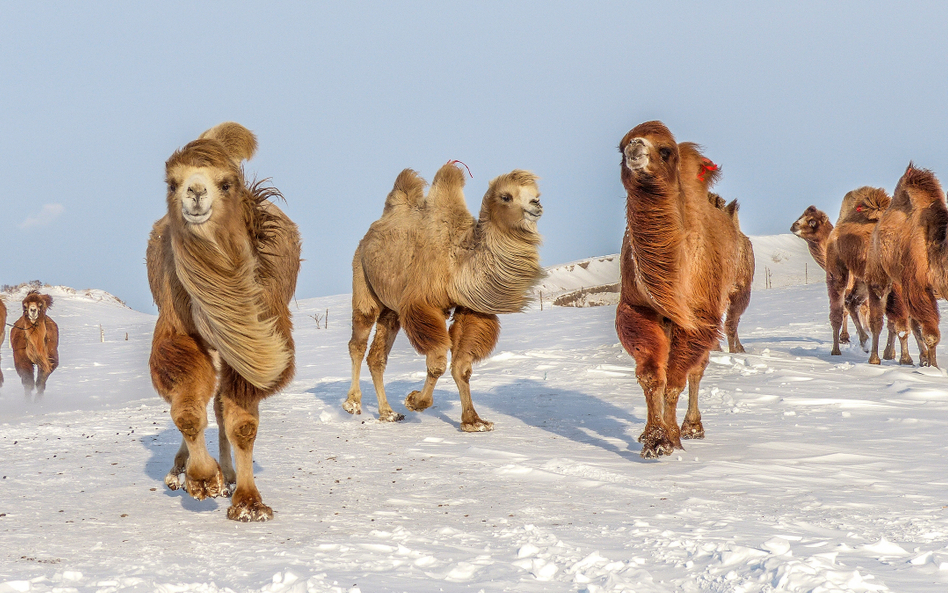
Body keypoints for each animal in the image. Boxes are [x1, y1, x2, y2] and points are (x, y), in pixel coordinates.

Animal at [146, 120, 300, 520]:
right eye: (172, 183)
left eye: (226, 183)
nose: (196, 191)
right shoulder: (178, 327)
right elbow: (186, 410)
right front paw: (202, 479)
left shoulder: (260, 336)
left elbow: (242, 424)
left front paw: (248, 503)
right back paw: (180, 472)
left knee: (217, 404)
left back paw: (227, 475)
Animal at [616, 121, 740, 458]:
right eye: (620, 147)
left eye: (665, 150)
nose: (634, 145)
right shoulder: (636, 308)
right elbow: (651, 376)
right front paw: (652, 438)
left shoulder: (700, 317)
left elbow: (676, 379)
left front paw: (670, 438)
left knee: (698, 369)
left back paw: (693, 427)